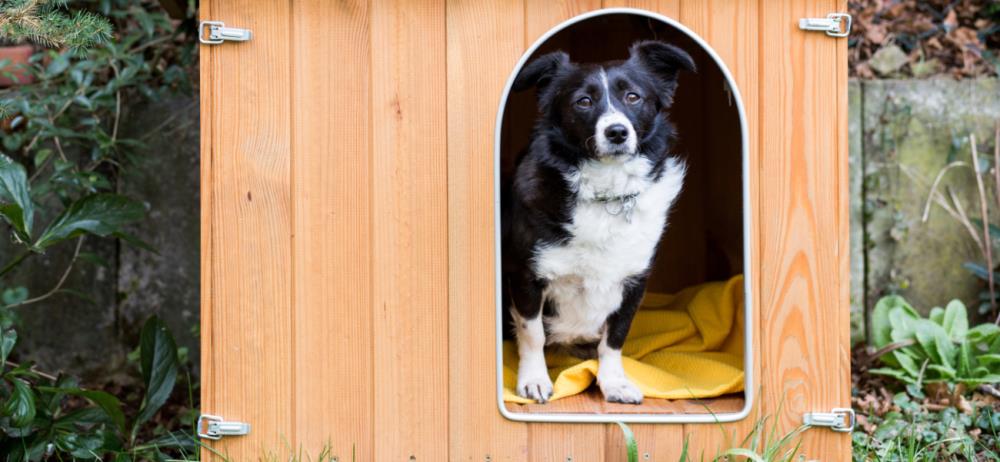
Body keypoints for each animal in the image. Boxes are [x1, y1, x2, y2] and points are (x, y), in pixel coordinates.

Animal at [500, 42, 696, 404]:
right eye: (583, 101)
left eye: (633, 97)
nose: (616, 132)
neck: (607, 192)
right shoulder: (525, 275)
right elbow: (532, 333)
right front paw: (534, 379)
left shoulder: (634, 281)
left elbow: (615, 337)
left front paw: (613, 381)